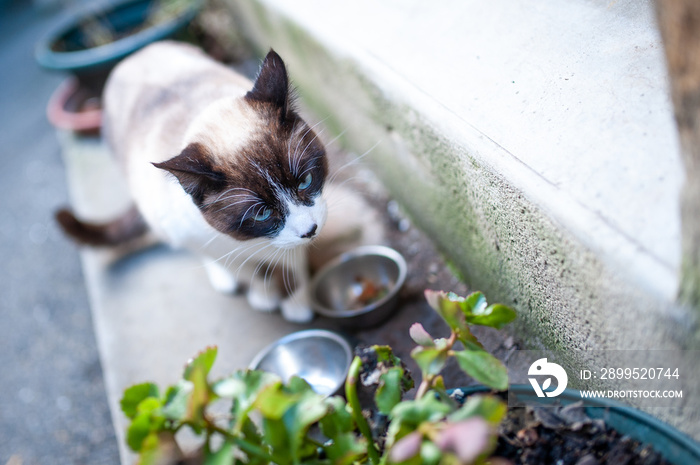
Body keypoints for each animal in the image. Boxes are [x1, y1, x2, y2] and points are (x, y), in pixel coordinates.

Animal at [56, 41, 330, 320]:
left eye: (305, 181)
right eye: (262, 214)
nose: (310, 230)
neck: (252, 242)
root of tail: (133, 56)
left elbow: (292, 264)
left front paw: (296, 305)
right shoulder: (196, 238)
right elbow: (249, 271)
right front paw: (264, 296)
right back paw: (226, 279)